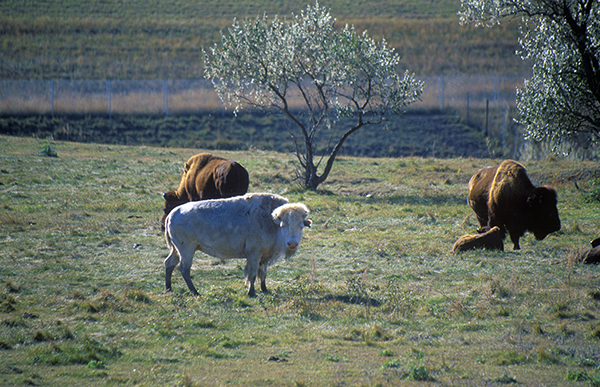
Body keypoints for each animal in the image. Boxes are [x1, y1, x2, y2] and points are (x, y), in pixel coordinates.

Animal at [165, 193, 314, 298]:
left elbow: (263, 273)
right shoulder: (254, 254)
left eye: (301, 225)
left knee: (169, 263)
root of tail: (172, 214)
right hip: (187, 250)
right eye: (283, 225)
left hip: (177, 250)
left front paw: (265, 289)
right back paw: (195, 292)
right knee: (184, 269)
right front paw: (252, 293)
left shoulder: (264, 256)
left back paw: (169, 289)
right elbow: (252, 274)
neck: (271, 220)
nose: (292, 243)